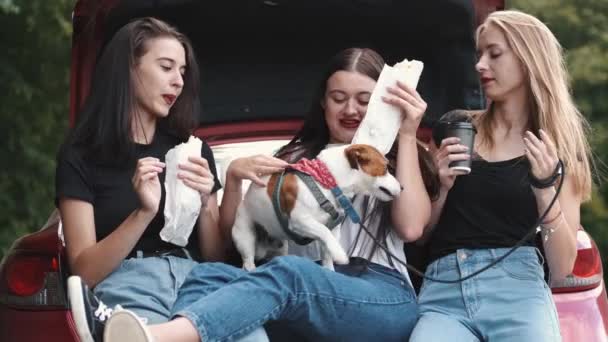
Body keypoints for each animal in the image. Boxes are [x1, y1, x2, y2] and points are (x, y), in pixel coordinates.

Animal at [230, 144, 402, 270]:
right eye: (386, 168)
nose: (403, 187)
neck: (326, 181)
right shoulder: (300, 221)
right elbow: (324, 232)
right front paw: (340, 254)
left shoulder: (333, 227)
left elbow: (328, 247)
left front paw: (329, 269)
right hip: (245, 236)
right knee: (248, 262)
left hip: (281, 245)